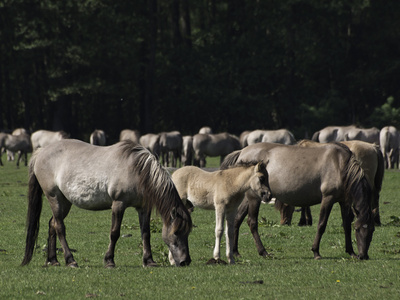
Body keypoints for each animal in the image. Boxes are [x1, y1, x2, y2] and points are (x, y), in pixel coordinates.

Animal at [21, 139, 193, 268]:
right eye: (176, 232)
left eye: (188, 232)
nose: (185, 261)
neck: (137, 170)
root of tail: (41, 151)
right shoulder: (118, 204)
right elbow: (114, 233)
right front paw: (109, 260)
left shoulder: (143, 208)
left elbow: (146, 233)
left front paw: (149, 261)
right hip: (54, 197)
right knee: (59, 227)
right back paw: (70, 260)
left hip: (64, 202)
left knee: (53, 224)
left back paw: (53, 260)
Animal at [222, 142, 376, 258]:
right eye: (358, 229)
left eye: (372, 230)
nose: (363, 256)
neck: (340, 164)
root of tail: (242, 152)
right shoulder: (328, 198)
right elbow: (321, 224)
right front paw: (316, 252)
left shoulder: (343, 201)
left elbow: (346, 225)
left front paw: (351, 252)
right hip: (254, 198)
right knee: (252, 222)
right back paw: (263, 251)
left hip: (249, 198)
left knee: (238, 219)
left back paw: (235, 252)